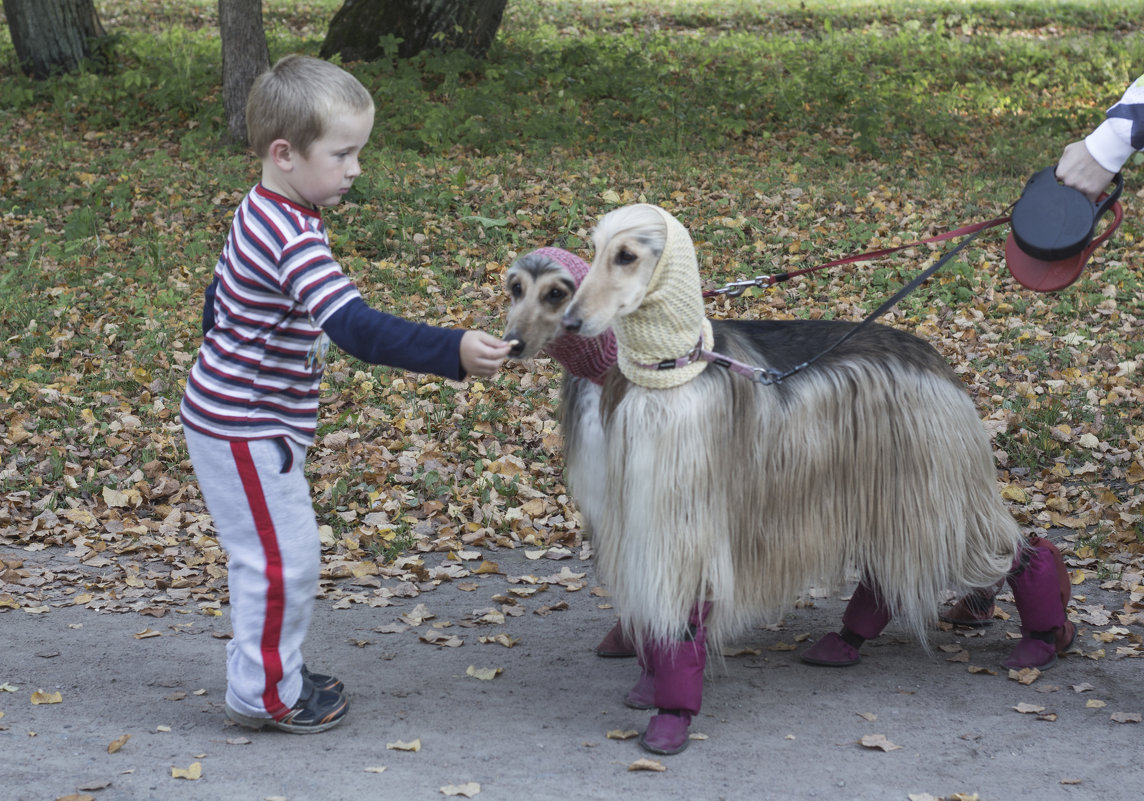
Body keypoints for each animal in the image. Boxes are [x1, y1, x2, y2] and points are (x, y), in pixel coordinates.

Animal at [562, 203, 1029, 755]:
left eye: (627, 255)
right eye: (593, 250)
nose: (571, 321)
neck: (671, 368)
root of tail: (933, 358)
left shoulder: (684, 508)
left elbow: (683, 608)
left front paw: (671, 711)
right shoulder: (640, 504)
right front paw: (651, 679)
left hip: (934, 483)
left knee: (1010, 547)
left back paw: (1038, 638)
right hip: (894, 489)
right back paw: (846, 641)